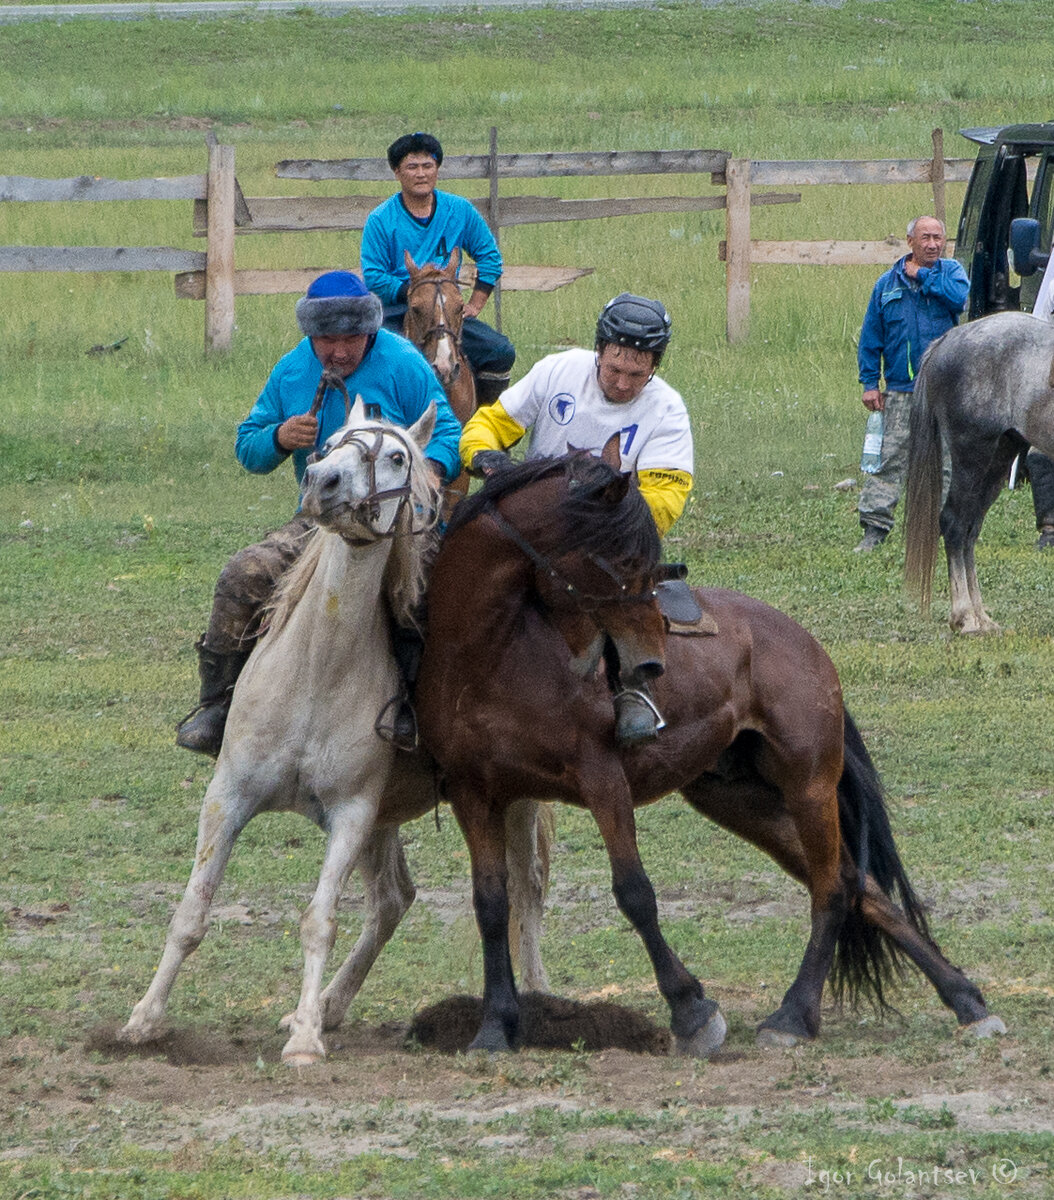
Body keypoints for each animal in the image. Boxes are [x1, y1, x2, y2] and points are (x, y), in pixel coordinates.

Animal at [118, 403, 552, 1070]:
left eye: (397, 456)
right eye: (329, 443)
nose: (321, 482)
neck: (317, 667)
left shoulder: (351, 812)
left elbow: (319, 921)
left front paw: (303, 1043)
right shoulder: (229, 797)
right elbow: (192, 911)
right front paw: (144, 1020)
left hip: (510, 800)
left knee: (525, 889)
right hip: (390, 816)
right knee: (394, 899)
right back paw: (327, 1006)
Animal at [417, 451, 1013, 1060]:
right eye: (620, 558)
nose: (650, 661)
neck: (492, 657)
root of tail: (802, 641)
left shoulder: (601, 779)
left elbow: (635, 893)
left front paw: (691, 1011)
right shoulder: (474, 794)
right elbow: (491, 904)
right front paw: (494, 1026)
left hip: (808, 786)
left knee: (833, 888)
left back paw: (794, 1015)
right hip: (741, 801)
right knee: (859, 883)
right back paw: (964, 999)